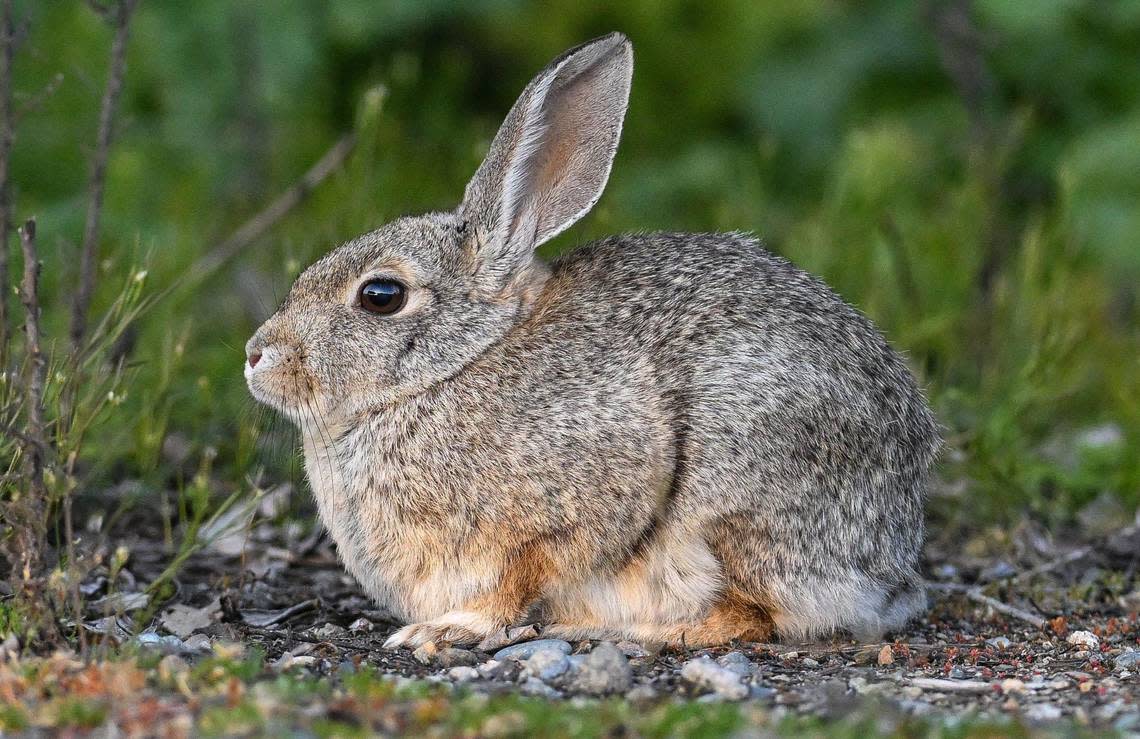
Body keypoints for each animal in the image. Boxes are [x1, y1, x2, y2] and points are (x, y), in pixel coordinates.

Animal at [245, 33, 939, 647]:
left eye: (380, 296)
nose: (257, 356)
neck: (457, 365)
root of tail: (890, 567)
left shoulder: (575, 502)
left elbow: (525, 574)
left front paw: (450, 628)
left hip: (735, 500)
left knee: (751, 615)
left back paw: (631, 631)